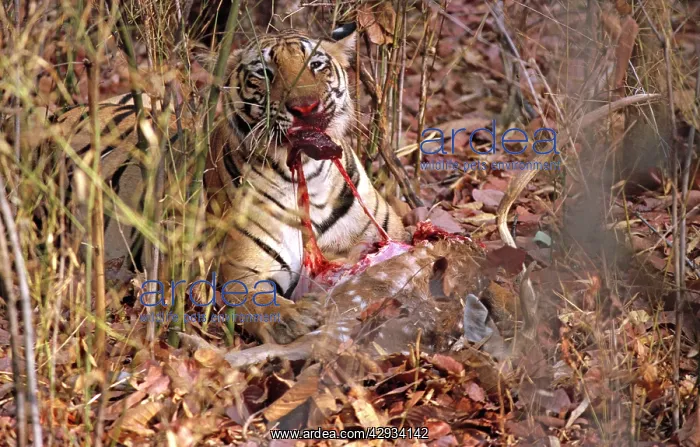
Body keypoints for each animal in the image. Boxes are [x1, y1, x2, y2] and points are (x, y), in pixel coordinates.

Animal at [24, 24, 406, 345]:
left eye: (316, 65)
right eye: (264, 73)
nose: (304, 107)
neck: (308, 176)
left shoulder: (388, 235)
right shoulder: (243, 271)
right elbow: (263, 301)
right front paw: (293, 319)